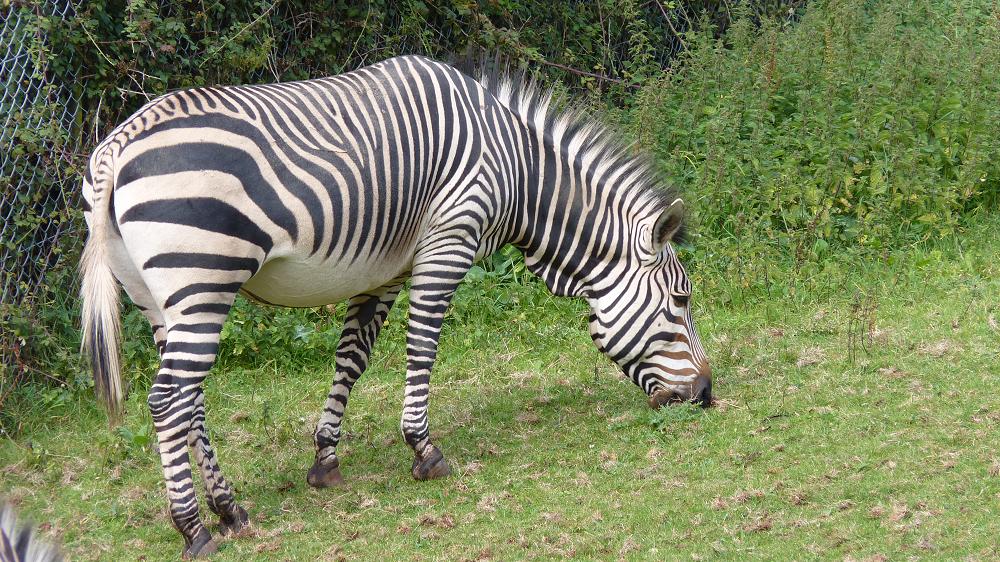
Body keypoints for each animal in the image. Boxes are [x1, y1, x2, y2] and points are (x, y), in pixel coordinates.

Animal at [80, 55, 711, 557]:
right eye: (681, 300)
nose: (707, 396)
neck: (514, 166)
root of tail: (119, 145)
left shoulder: (383, 270)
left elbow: (352, 359)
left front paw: (325, 460)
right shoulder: (450, 240)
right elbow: (423, 345)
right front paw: (424, 450)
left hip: (158, 301)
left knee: (190, 401)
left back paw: (230, 509)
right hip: (202, 279)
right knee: (168, 400)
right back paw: (194, 529)